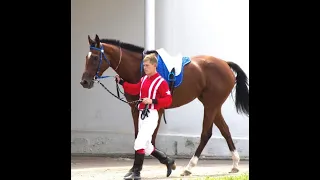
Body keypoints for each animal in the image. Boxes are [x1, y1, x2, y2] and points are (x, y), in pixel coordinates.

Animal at [80, 34, 250, 176]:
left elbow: (150, 140)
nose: (84, 82)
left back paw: (189, 167)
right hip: (214, 105)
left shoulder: (157, 110)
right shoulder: (135, 109)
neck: (140, 70)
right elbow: (138, 137)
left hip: (210, 106)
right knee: (225, 130)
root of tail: (225, 63)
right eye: (86, 57)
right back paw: (235, 164)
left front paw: (165, 163)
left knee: (206, 134)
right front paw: (134, 169)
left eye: (95, 57)